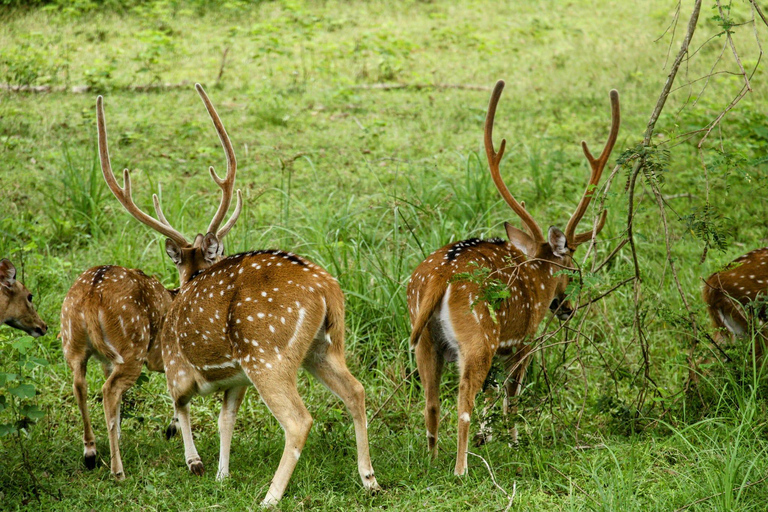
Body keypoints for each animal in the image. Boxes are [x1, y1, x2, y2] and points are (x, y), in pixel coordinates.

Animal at [96, 84, 380, 504]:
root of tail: (327, 289)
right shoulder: (235, 381)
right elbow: (225, 419)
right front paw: (221, 475)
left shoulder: (177, 366)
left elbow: (180, 405)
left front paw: (196, 463)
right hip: (324, 347)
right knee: (356, 390)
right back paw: (369, 479)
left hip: (267, 354)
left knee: (299, 419)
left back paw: (271, 496)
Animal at [408, 80, 616, 476]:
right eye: (572, 269)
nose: (566, 308)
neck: (536, 277)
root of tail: (440, 275)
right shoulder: (522, 341)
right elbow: (510, 395)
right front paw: (512, 440)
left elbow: (494, 394)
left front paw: (489, 437)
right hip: (478, 337)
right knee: (462, 401)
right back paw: (460, 469)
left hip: (425, 339)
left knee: (430, 402)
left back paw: (432, 460)